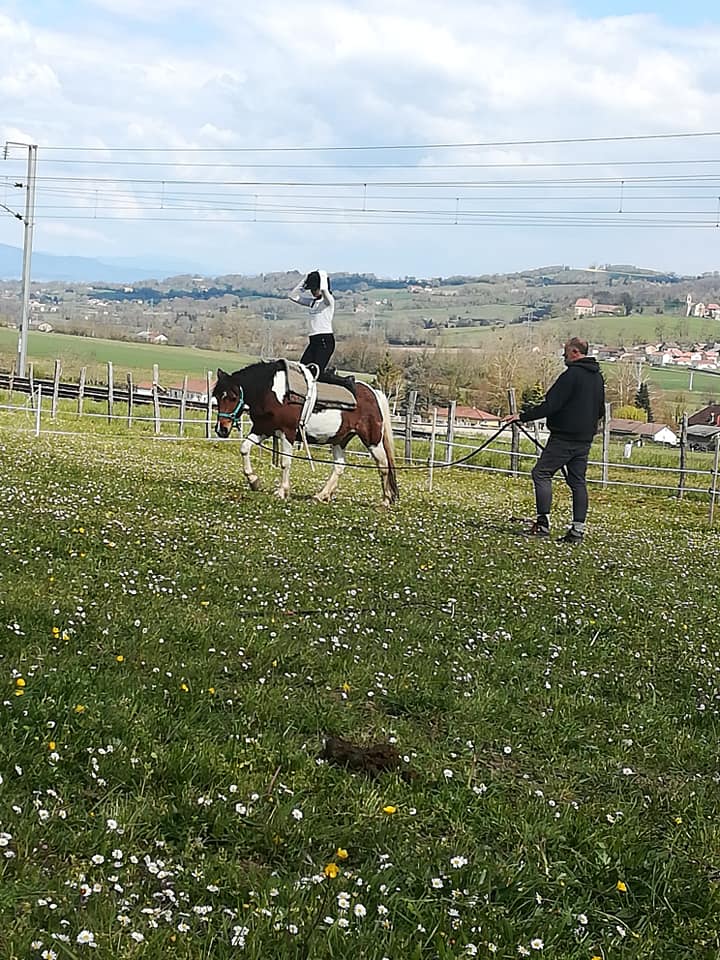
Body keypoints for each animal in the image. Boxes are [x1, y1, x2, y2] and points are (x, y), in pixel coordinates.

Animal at [212, 360, 400, 506]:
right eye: (218, 397)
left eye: (233, 397)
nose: (222, 429)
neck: (272, 392)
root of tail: (374, 392)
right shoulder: (262, 429)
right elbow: (244, 448)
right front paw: (254, 481)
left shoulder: (287, 432)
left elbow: (285, 462)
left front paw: (282, 491)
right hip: (339, 440)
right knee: (339, 467)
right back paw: (321, 495)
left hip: (372, 439)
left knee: (383, 464)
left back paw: (385, 500)